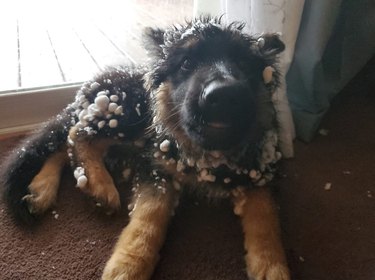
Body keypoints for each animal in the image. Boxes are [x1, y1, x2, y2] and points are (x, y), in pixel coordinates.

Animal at [0, 16, 290, 278]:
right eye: (186, 63)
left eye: (243, 63)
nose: (223, 95)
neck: (208, 155)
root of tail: (90, 86)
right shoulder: (156, 168)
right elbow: (149, 217)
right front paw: (128, 264)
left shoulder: (261, 173)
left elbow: (265, 220)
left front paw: (271, 266)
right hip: (130, 111)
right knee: (77, 133)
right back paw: (98, 185)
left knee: (63, 146)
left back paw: (41, 188)